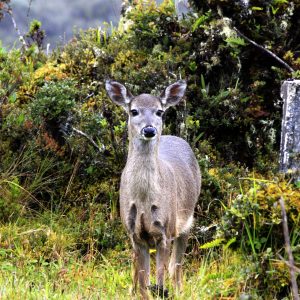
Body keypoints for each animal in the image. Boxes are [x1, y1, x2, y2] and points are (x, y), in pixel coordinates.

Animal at [105, 79, 202, 298]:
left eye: (159, 111)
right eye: (133, 111)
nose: (149, 130)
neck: (144, 201)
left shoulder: (166, 231)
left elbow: (160, 277)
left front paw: (164, 292)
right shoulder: (135, 234)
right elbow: (144, 282)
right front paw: (139, 293)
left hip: (186, 221)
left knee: (176, 267)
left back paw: (179, 291)